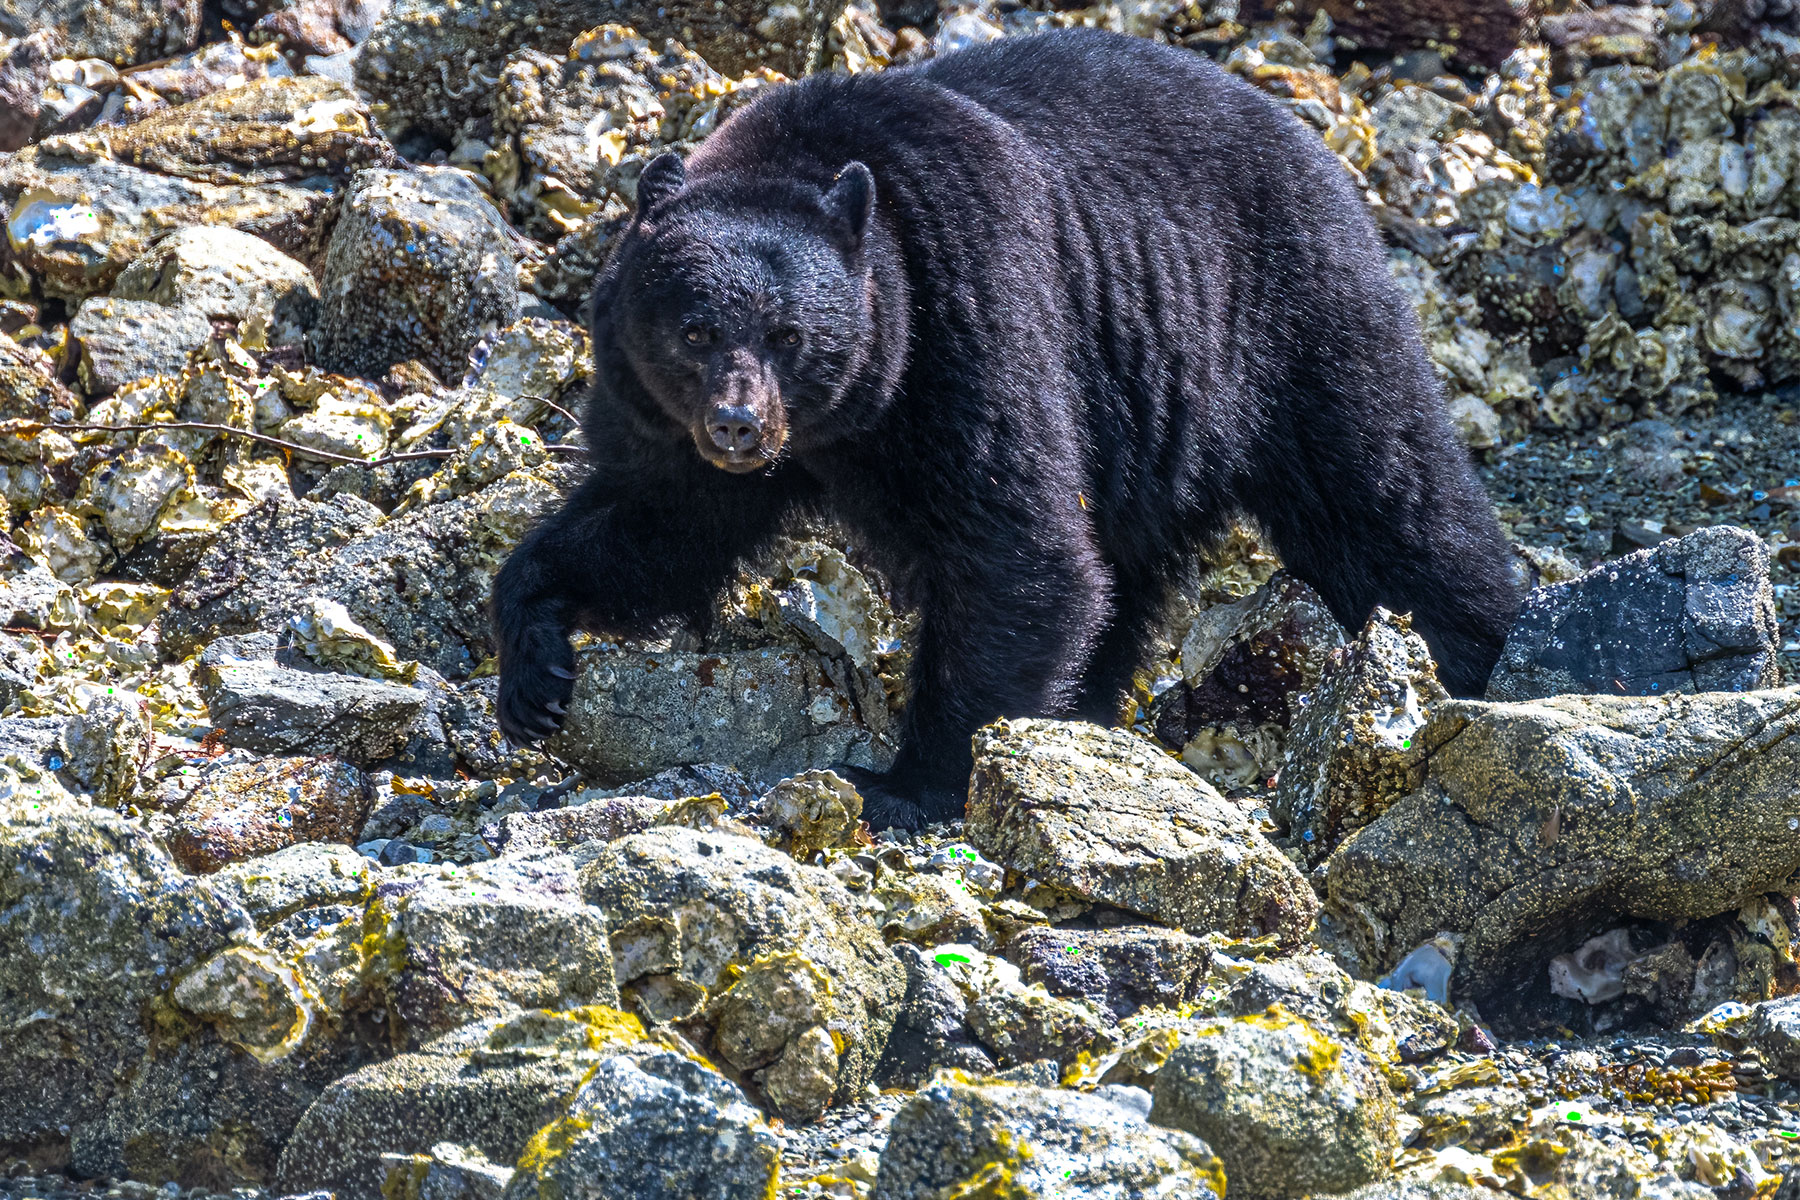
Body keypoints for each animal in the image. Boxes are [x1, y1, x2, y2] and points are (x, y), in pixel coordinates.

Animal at [490, 28, 1522, 828]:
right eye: (696, 330)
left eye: (790, 336)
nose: (740, 426)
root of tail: (1316, 149)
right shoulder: (662, 415)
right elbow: (657, 525)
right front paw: (534, 665)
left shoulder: (967, 318)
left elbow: (1017, 551)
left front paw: (908, 781)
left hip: (1291, 321)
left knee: (1385, 499)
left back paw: (1482, 659)